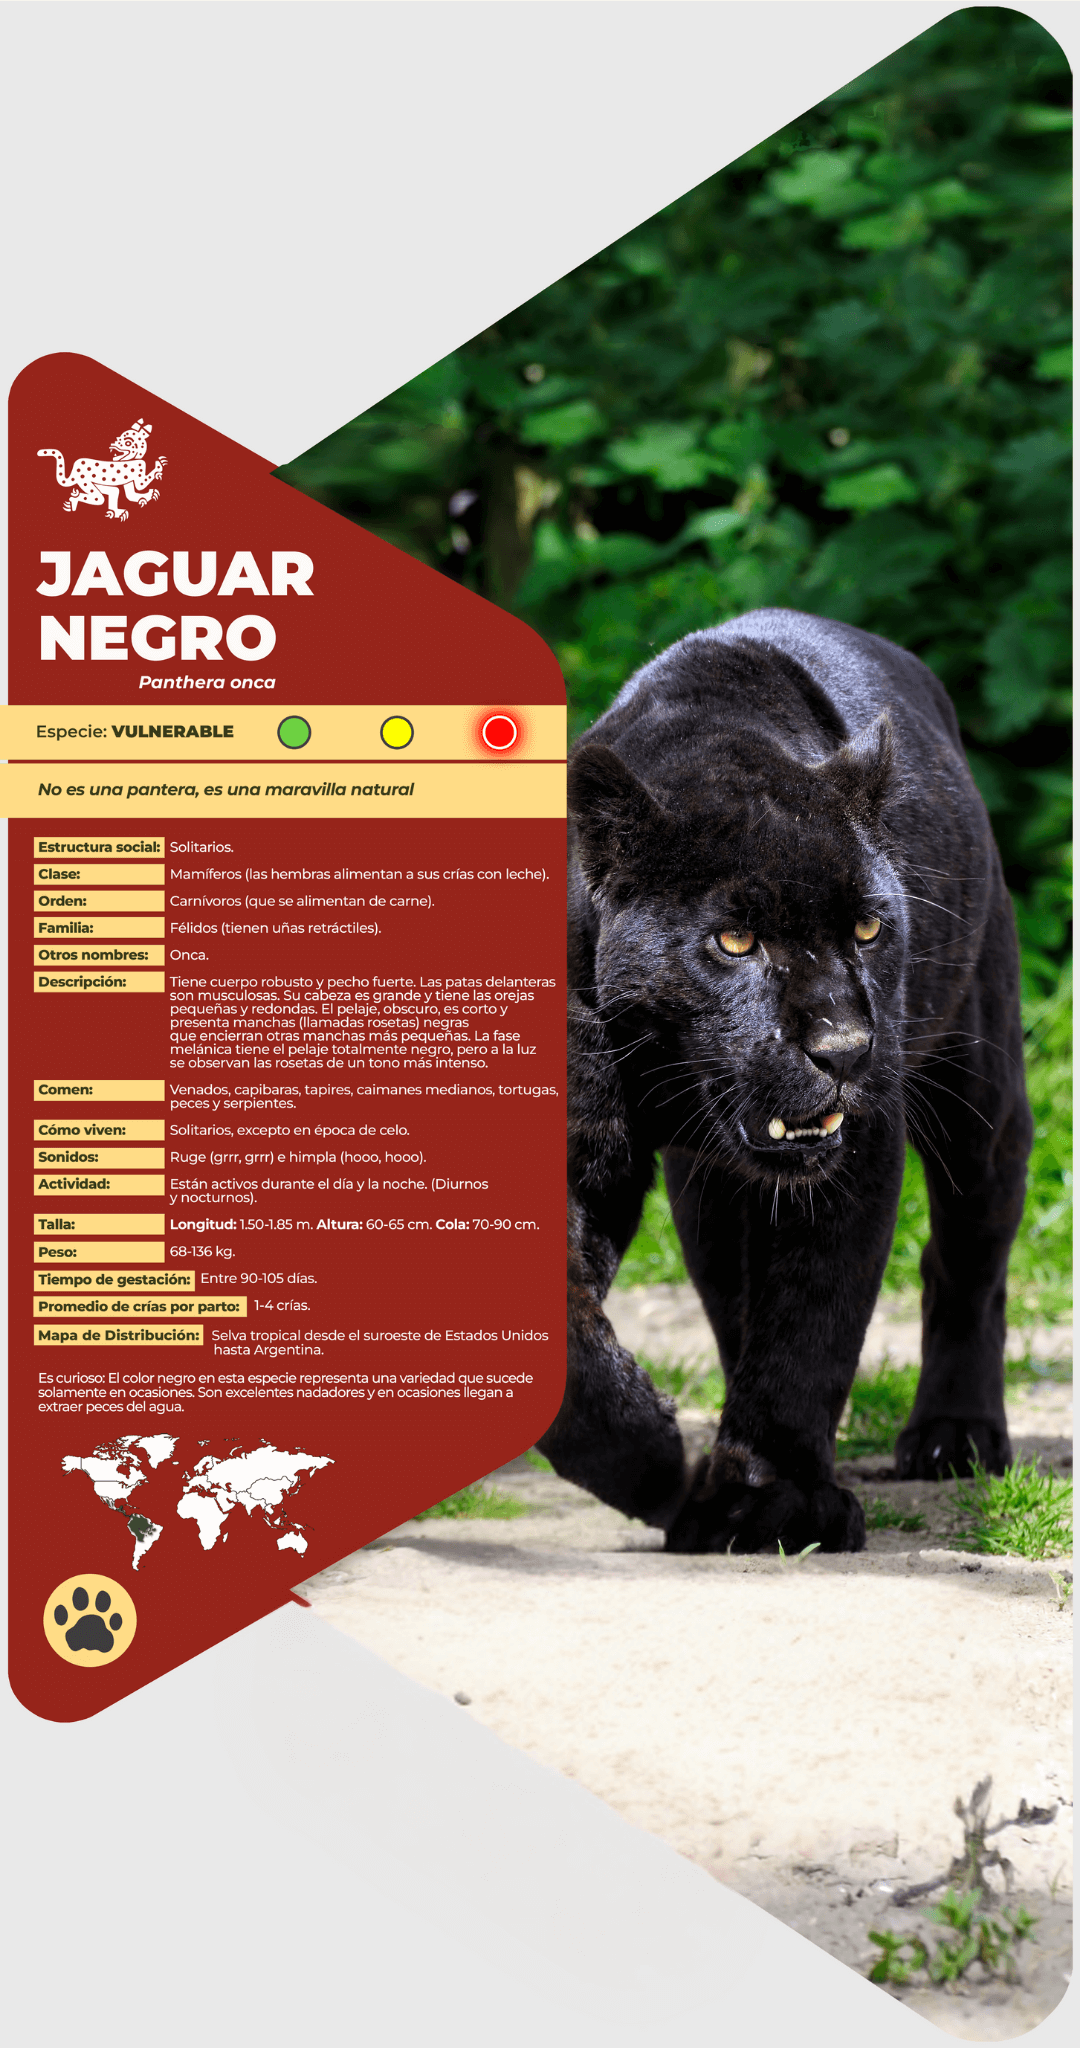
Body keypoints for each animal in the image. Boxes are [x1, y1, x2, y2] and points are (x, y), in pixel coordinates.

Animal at [538, 608, 1032, 1554]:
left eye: (868, 927)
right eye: (735, 941)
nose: (845, 1046)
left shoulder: (858, 1152)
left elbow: (814, 1313)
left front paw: (777, 1501)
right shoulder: (579, 1149)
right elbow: (571, 1331)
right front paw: (657, 1466)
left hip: (978, 1093)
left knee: (967, 1264)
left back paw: (955, 1436)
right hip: (706, 1192)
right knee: (734, 1295)